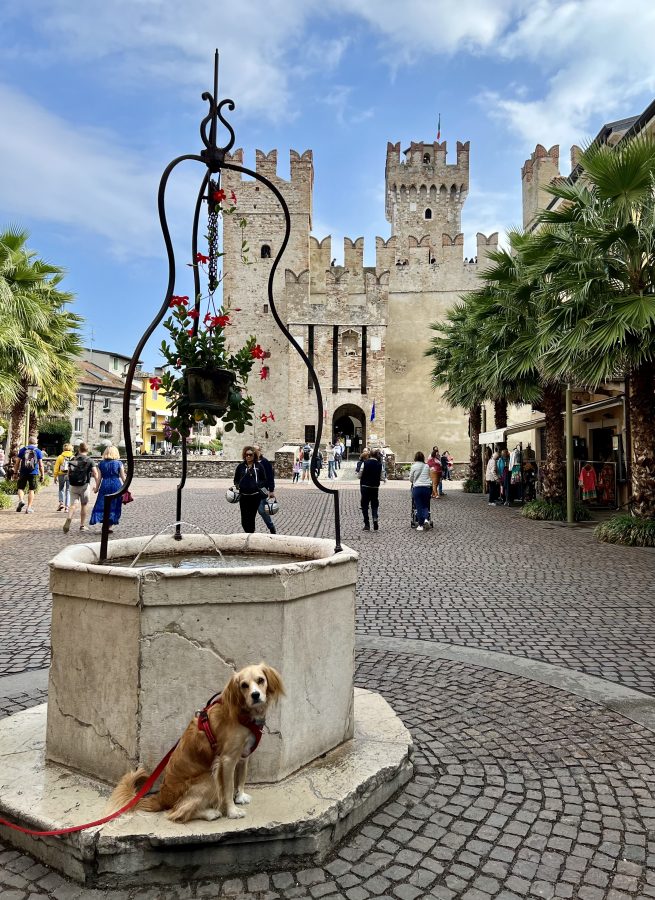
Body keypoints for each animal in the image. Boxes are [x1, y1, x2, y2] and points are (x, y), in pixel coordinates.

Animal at [107, 660, 284, 824]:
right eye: (244, 685)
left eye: (260, 680)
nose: (255, 695)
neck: (245, 714)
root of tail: (162, 797)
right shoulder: (227, 759)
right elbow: (228, 788)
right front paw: (232, 811)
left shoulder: (244, 753)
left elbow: (241, 778)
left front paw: (240, 796)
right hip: (209, 778)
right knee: (176, 812)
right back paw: (210, 813)